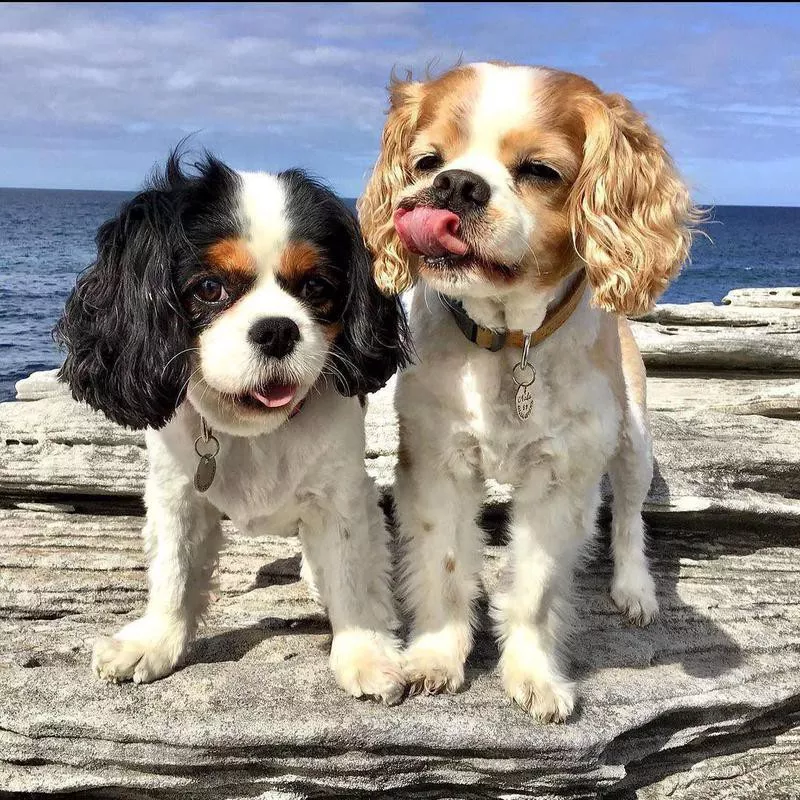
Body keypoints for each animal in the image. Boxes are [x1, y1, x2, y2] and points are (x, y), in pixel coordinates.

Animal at [54, 153, 412, 704]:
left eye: (315, 288)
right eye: (209, 288)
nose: (278, 329)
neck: (255, 431)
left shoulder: (343, 495)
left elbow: (353, 573)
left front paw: (364, 652)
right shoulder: (176, 492)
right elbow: (174, 571)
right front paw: (154, 641)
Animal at [360, 62, 696, 720]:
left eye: (540, 171)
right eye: (427, 162)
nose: (455, 185)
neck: (507, 338)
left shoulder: (560, 481)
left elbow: (537, 588)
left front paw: (533, 674)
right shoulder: (438, 463)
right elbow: (444, 564)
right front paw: (436, 658)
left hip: (634, 440)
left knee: (629, 517)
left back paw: (634, 588)